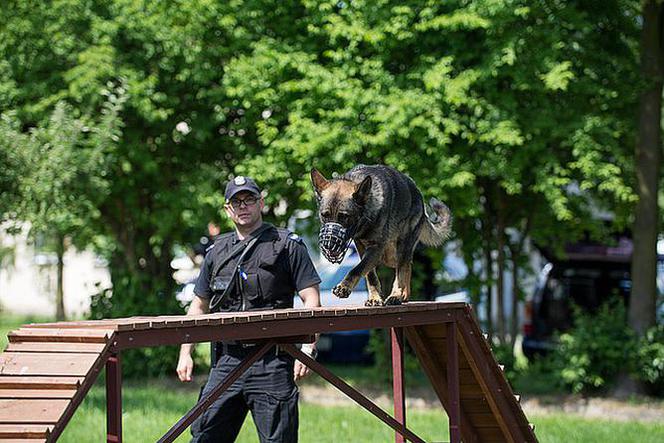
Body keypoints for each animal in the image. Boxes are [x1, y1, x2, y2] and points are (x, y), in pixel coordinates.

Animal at [312, 165, 452, 306]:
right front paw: (375, 298)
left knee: (402, 270)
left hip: (401, 247)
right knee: (407, 265)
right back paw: (404, 295)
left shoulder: (375, 248)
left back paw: (396, 295)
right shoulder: (362, 248)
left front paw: (344, 287)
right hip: (391, 254)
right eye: (325, 215)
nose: (328, 245)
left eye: (344, 216)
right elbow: (370, 274)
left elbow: (357, 269)